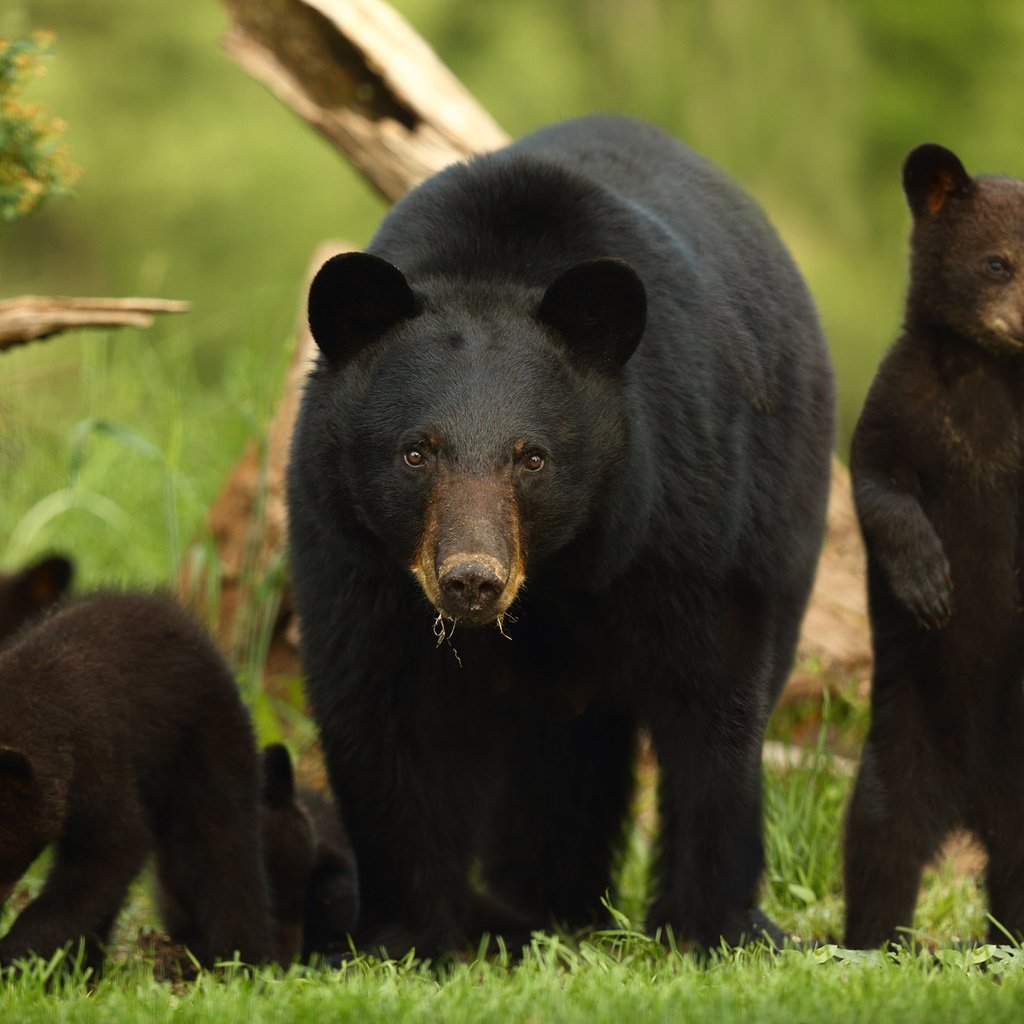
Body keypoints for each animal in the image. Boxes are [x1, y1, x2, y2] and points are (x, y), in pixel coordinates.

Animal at [0, 593, 276, 966]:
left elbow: (114, 849)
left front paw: (16, 956)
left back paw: (241, 959)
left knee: (224, 841)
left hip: (207, 739)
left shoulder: (98, 757)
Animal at [286, 116, 831, 954]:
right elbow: (383, 710)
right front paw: (404, 935)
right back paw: (542, 905)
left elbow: (712, 696)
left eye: (532, 457)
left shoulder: (684, 514)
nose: (471, 579)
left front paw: (712, 928)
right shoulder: (351, 549)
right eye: (416, 451)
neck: (555, 575)